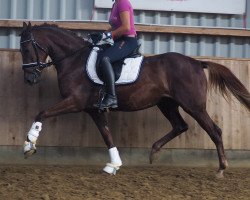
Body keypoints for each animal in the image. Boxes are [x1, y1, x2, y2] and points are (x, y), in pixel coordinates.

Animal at [20, 22, 250, 177]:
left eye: (26, 48)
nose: (29, 79)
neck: (75, 60)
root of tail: (196, 63)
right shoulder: (93, 109)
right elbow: (107, 135)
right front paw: (113, 165)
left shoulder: (75, 101)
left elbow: (41, 113)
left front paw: (29, 144)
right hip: (166, 104)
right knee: (180, 126)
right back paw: (154, 152)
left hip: (193, 106)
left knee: (214, 131)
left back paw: (221, 169)